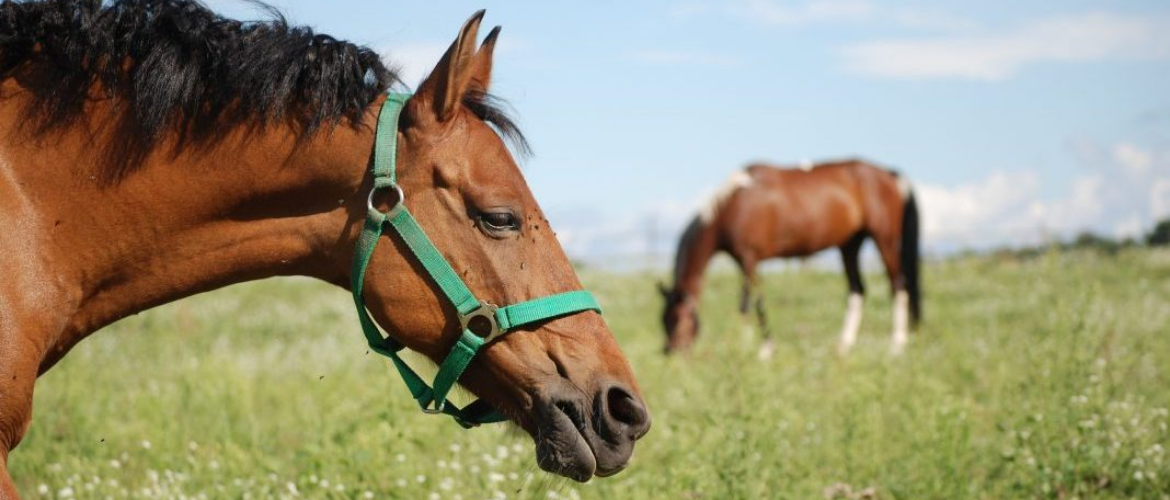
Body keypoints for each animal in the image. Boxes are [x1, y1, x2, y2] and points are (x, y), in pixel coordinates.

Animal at [659, 158, 921, 358]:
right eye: (663, 321)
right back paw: (843, 346)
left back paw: (896, 346)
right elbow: (754, 301)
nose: (671, 352)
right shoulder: (746, 261)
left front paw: (755, 348)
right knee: (857, 289)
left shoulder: (749, 258)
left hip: (884, 237)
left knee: (898, 285)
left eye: (677, 320)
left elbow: (749, 302)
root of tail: (889, 173)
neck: (730, 207)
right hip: (850, 244)